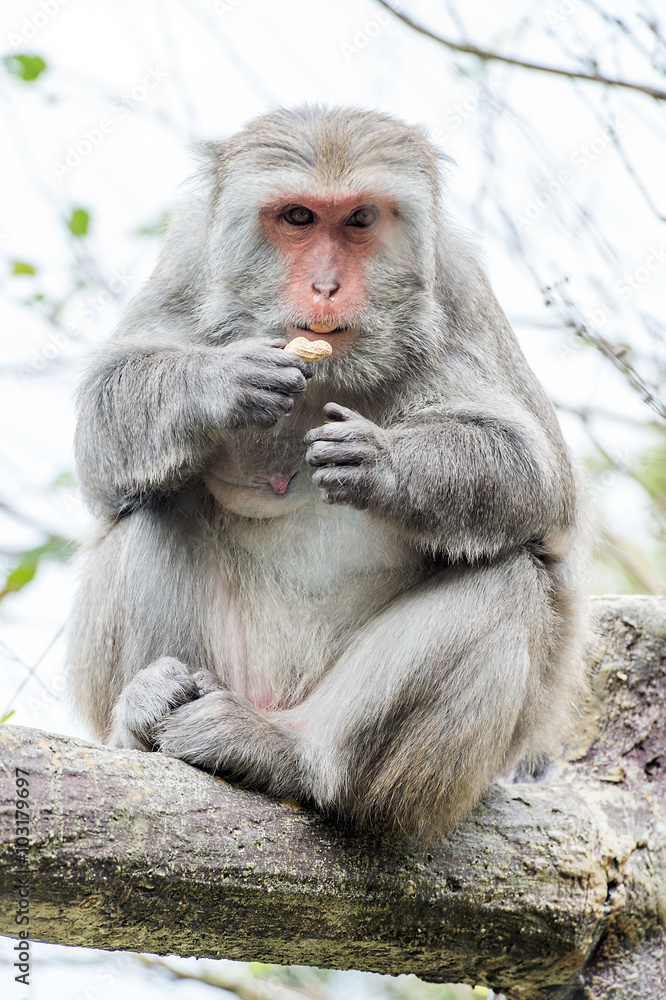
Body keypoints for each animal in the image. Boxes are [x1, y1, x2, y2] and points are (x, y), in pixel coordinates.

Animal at [67, 105, 588, 840]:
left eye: (360, 220)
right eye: (298, 217)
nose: (325, 287)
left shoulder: (457, 291)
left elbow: (537, 477)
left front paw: (384, 465)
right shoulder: (190, 262)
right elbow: (102, 424)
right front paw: (219, 382)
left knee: (506, 577)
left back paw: (289, 753)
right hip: (234, 665)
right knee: (152, 503)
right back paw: (145, 713)